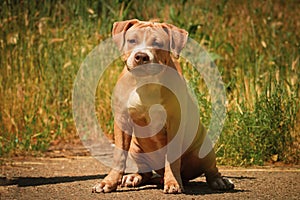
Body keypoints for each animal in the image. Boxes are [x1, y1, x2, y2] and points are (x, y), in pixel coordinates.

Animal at [92, 18, 234, 194]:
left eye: (158, 43)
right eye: (132, 41)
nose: (141, 56)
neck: (145, 83)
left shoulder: (174, 122)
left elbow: (172, 158)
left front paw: (172, 182)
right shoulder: (122, 120)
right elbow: (119, 156)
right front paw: (108, 182)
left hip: (205, 148)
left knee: (210, 169)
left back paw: (219, 181)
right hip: (136, 148)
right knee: (145, 172)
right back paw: (134, 177)